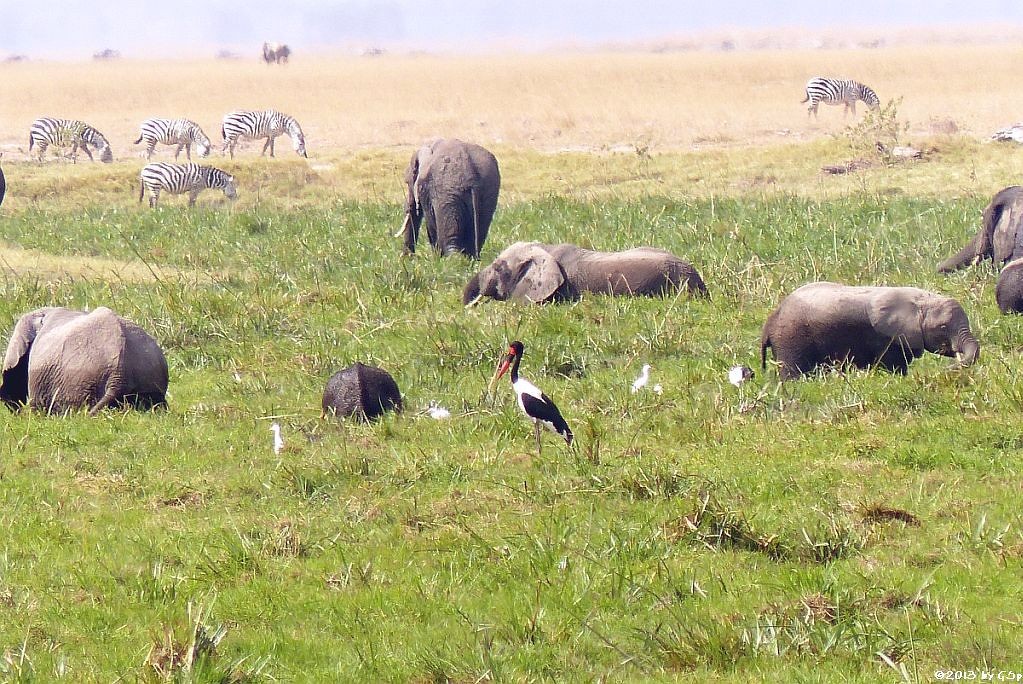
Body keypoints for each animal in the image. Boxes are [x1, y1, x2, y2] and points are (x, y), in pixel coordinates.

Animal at [765, 282, 977, 378]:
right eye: (943, 327)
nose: (946, 370)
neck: (920, 300)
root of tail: (771, 319)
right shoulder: (887, 338)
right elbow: (894, 366)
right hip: (790, 338)